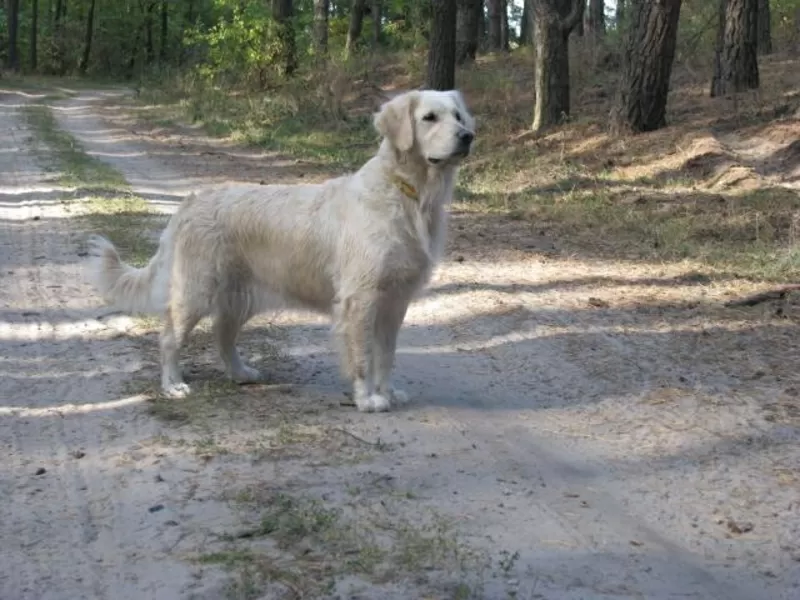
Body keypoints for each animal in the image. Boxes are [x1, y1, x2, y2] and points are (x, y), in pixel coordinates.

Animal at [86, 89, 476, 410]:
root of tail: (189, 203)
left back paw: (241, 373)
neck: (408, 194)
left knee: (222, 335)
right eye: (429, 117)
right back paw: (173, 385)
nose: (468, 136)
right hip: (195, 291)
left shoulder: (395, 300)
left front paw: (388, 391)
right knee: (169, 338)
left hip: (238, 297)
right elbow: (363, 356)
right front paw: (368, 399)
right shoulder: (361, 298)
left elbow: (386, 355)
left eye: (458, 116)